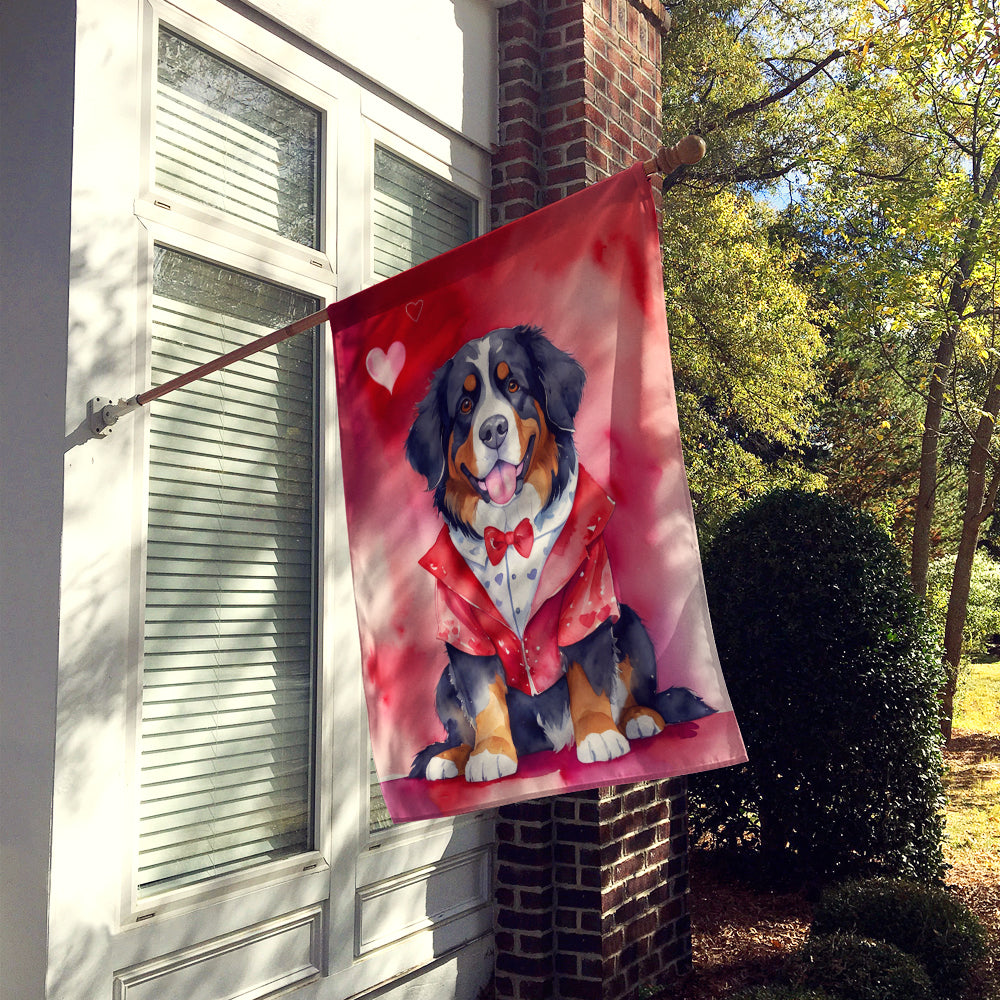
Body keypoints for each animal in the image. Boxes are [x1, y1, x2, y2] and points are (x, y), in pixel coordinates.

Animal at [402, 326, 716, 780]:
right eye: (464, 405)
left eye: (514, 385)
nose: (492, 429)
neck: (511, 532)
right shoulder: (465, 633)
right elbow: (482, 699)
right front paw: (490, 752)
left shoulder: (585, 601)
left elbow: (588, 674)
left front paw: (598, 733)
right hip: (443, 680)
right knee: (458, 725)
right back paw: (449, 757)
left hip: (631, 622)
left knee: (640, 692)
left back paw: (638, 719)